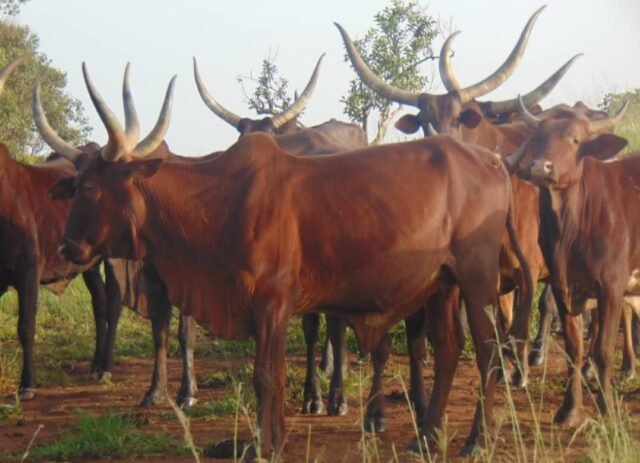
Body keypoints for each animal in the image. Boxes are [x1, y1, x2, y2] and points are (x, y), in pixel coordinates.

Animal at [39, 64, 531, 456]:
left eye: (89, 187)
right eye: (74, 183)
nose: (67, 248)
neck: (220, 198)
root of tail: (493, 161)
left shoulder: (272, 299)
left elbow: (265, 375)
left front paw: (265, 444)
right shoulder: (269, 307)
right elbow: (272, 371)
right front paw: (268, 438)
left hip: (477, 280)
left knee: (487, 351)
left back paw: (476, 440)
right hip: (443, 284)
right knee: (449, 350)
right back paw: (425, 438)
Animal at [514, 99, 632, 426]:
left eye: (576, 140)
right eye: (538, 138)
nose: (539, 167)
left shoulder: (611, 289)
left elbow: (603, 350)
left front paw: (606, 409)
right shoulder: (564, 287)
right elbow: (573, 348)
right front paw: (569, 410)